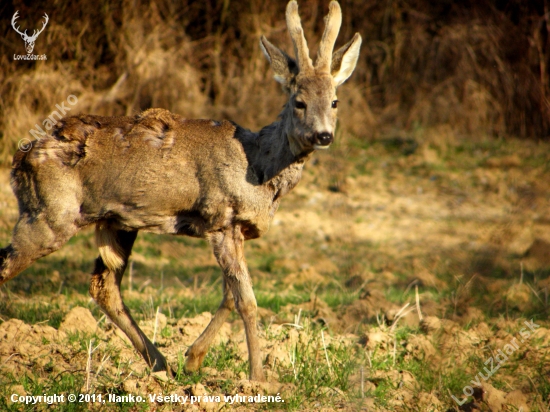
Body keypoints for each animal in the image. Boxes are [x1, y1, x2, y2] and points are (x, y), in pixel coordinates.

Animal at [0, 0, 362, 382]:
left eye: (335, 101)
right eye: (299, 102)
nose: (324, 135)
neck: (257, 166)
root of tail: (20, 159)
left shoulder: (238, 231)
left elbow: (230, 295)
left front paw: (193, 359)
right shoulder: (220, 220)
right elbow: (247, 300)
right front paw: (258, 378)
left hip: (117, 222)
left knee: (104, 287)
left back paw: (160, 365)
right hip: (48, 216)